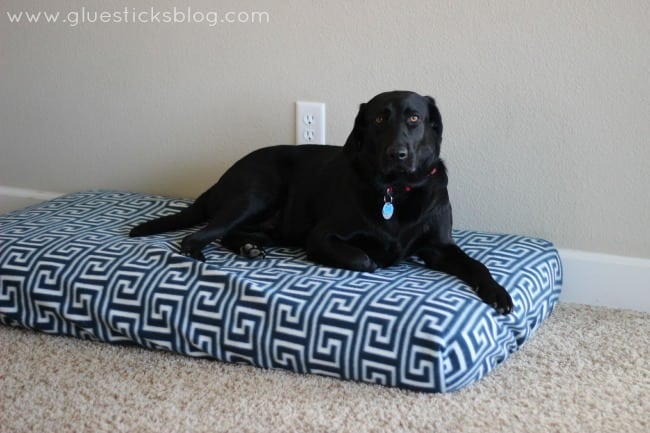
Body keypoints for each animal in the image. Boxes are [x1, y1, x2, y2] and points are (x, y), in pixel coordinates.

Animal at [130, 91, 512, 314]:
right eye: (379, 118)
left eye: (414, 118)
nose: (397, 153)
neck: (396, 191)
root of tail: (222, 177)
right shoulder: (322, 236)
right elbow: (363, 259)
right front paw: (373, 258)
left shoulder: (440, 246)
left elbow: (477, 265)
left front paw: (498, 293)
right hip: (257, 194)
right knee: (197, 236)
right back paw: (200, 256)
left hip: (274, 226)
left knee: (230, 233)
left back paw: (248, 247)